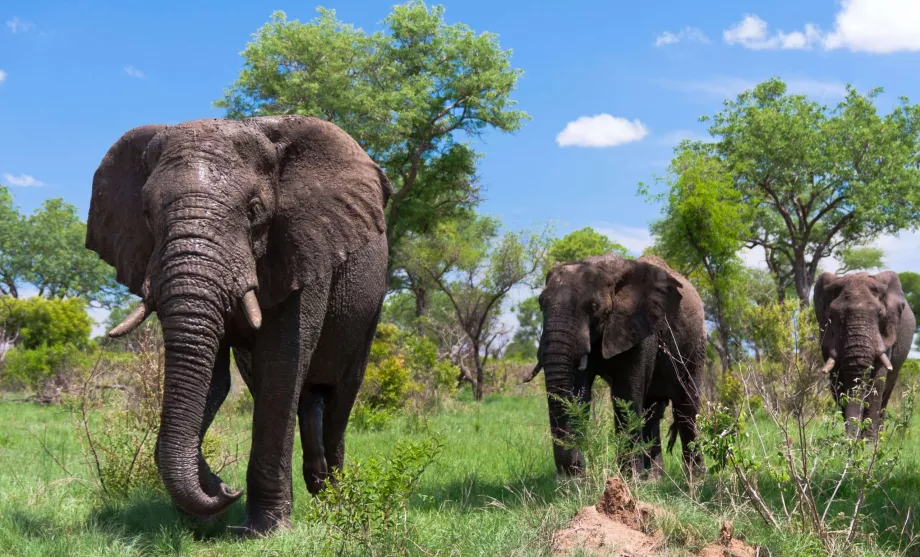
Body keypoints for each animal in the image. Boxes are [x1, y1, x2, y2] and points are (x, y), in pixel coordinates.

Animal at [82, 114, 392, 536]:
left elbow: (282, 363)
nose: (227, 489)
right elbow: (214, 378)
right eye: (146, 214)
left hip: (371, 308)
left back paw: (335, 499)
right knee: (300, 395)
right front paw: (209, 504)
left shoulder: (302, 248)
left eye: (254, 210)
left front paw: (264, 531)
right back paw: (318, 486)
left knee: (340, 397)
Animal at [524, 252, 704, 474]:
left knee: (686, 407)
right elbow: (578, 392)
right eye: (541, 304)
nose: (576, 469)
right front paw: (576, 479)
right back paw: (655, 477)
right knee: (652, 411)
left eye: (593, 307)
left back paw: (695, 477)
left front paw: (628, 476)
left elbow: (626, 395)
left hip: (695, 346)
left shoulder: (639, 328)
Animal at [812, 270, 912, 438]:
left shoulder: (885, 336)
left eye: (880, 315)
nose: (848, 440)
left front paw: (868, 443)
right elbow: (837, 384)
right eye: (832, 317)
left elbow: (877, 383)